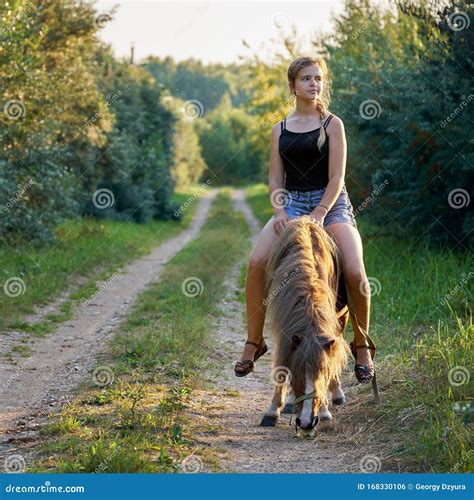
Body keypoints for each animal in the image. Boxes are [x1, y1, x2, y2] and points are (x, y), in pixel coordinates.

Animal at [262, 216, 354, 438]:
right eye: (297, 373)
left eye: (323, 373)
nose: (305, 422)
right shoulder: (284, 332)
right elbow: (282, 365)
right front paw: (273, 410)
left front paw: (325, 410)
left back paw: (336, 393)